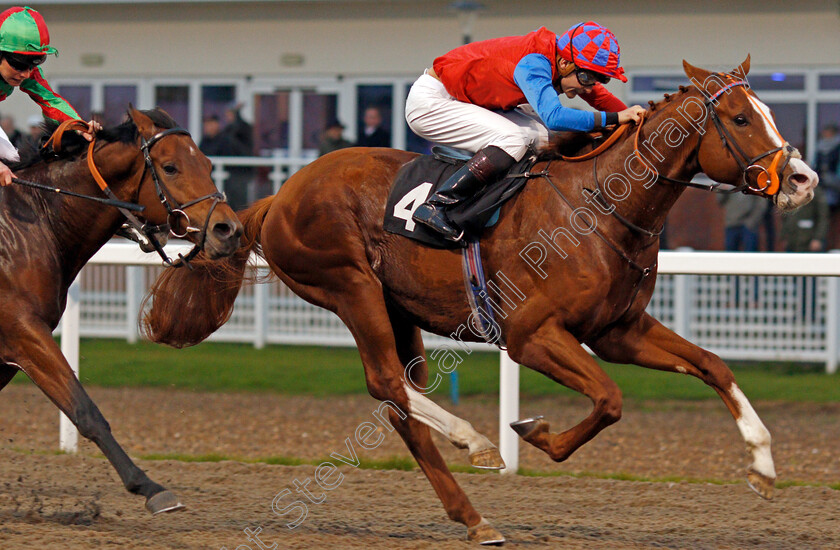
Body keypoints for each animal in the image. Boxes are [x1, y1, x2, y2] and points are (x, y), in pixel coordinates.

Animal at [1, 109, 243, 516]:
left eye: (208, 164)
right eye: (170, 167)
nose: (229, 229)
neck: (32, 222)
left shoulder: (10, 350)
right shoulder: (22, 330)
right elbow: (85, 410)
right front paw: (151, 488)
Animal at [143, 58, 812, 544]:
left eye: (768, 111)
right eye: (741, 119)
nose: (803, 180)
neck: (602, 204)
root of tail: (278, 196)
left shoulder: (619, 329)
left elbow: (712, 365)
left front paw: (762, 465)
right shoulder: (531, 335)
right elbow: (610, 398)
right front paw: (533, 433)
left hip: (397, 308)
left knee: (400, 404)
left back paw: (473, 516)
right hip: (350, 285)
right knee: (386, 382)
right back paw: (475, 442)